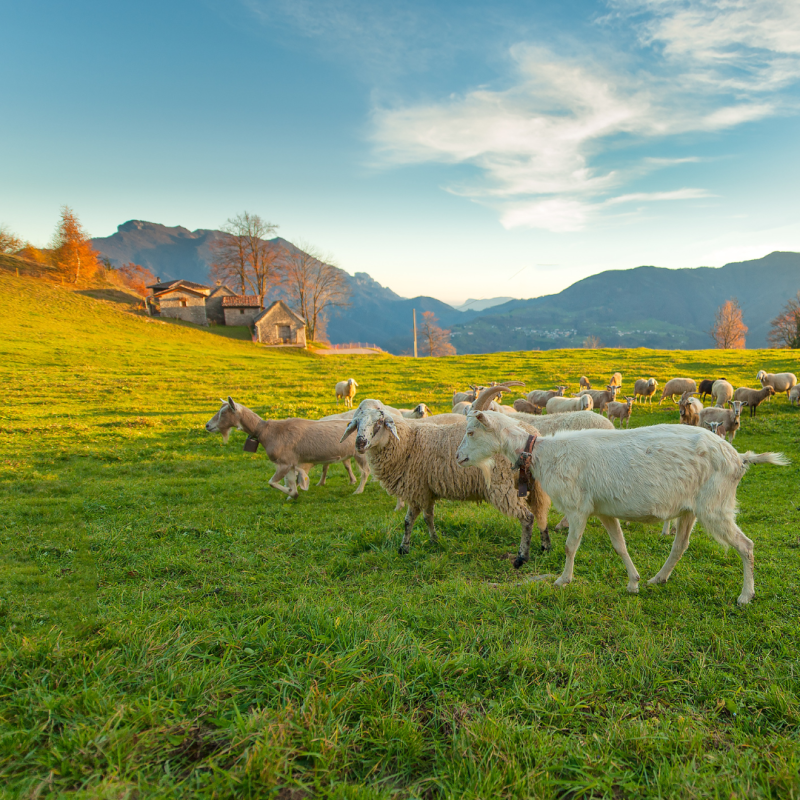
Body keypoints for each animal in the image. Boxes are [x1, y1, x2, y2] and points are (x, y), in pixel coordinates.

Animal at [205, 396, 370, 496]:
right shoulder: (291, 463)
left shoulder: (284, 462)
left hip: (360, 453)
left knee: (366, 472)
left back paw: (358, 490)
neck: (267, 431)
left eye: (223, 413)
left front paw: (292, 493)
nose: (207, 425)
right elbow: (290, 481)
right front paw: (293, 494)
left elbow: (272, 482)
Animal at [338, 396, 552, 564]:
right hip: (535, 487)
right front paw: (433, 541)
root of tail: (531, 434)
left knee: (527, 518)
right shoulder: (427, 490)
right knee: (540, 514)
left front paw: (404, 548)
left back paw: (522, 556)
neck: (406, 443)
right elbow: (427, 517)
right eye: (357, 424)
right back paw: (546, 547)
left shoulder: (416, 489)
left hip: (502, 487)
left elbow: (409, 520)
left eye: (378, 423)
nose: (360, 443)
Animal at [456, 412, 788, 608]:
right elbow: (619, 545)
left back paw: (745, 595)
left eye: (471, 432)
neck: (544, 454)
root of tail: (739, 458)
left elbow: (570, 546)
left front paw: (563, 580)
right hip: (691, 509)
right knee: (680, 546)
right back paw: (658, 579)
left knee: (746, 545)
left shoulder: (578, 507)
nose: (459, 458)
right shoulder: (603, 509)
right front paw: (633, 582)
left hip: (716, 505)